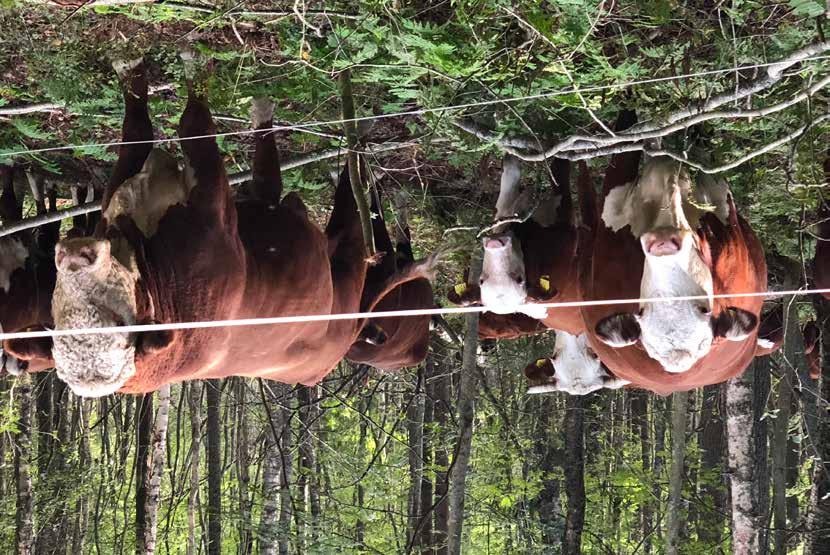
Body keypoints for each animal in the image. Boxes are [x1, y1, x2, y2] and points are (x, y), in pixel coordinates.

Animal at [0, 54, 370, 398]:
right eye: (60, 324)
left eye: (118, 321)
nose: (76, 258)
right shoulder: (214, 211)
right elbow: (183, 123)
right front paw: (186, 64)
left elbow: (145, 127)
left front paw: (136, 69)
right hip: (342, 287)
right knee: (331, 217)